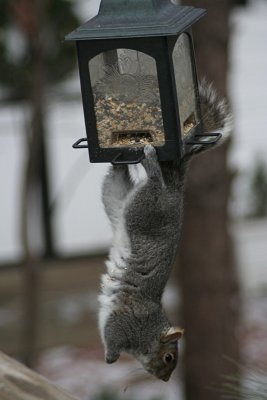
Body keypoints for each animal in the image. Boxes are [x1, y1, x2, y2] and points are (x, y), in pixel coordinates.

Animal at [98, 80, 232, 382]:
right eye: (169, 357)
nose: (165, 379)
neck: (149, 329)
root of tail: (175, 190)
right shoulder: (123, 324)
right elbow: (112, 338)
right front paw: (111, 358)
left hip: (123, 202)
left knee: (116, 181)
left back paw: (117, 159)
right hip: (150, 207)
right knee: (154, 180)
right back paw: (150, 163)